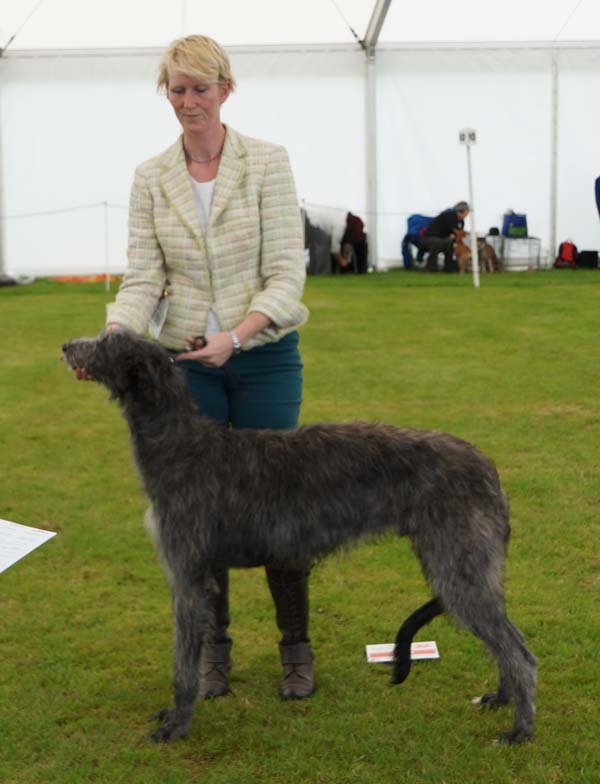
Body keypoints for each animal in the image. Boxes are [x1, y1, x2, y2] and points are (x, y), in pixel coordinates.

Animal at [63, 328, 536, 744]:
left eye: (106, 341)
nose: (67, 346)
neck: (181, 445)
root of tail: (487, 465)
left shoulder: (188, 576)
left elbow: (183, 665)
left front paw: (176, 726)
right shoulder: (205, 573)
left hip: (458, 567)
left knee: (520, 652)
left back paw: (521, 729)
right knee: (506, 641)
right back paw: (501, 697)